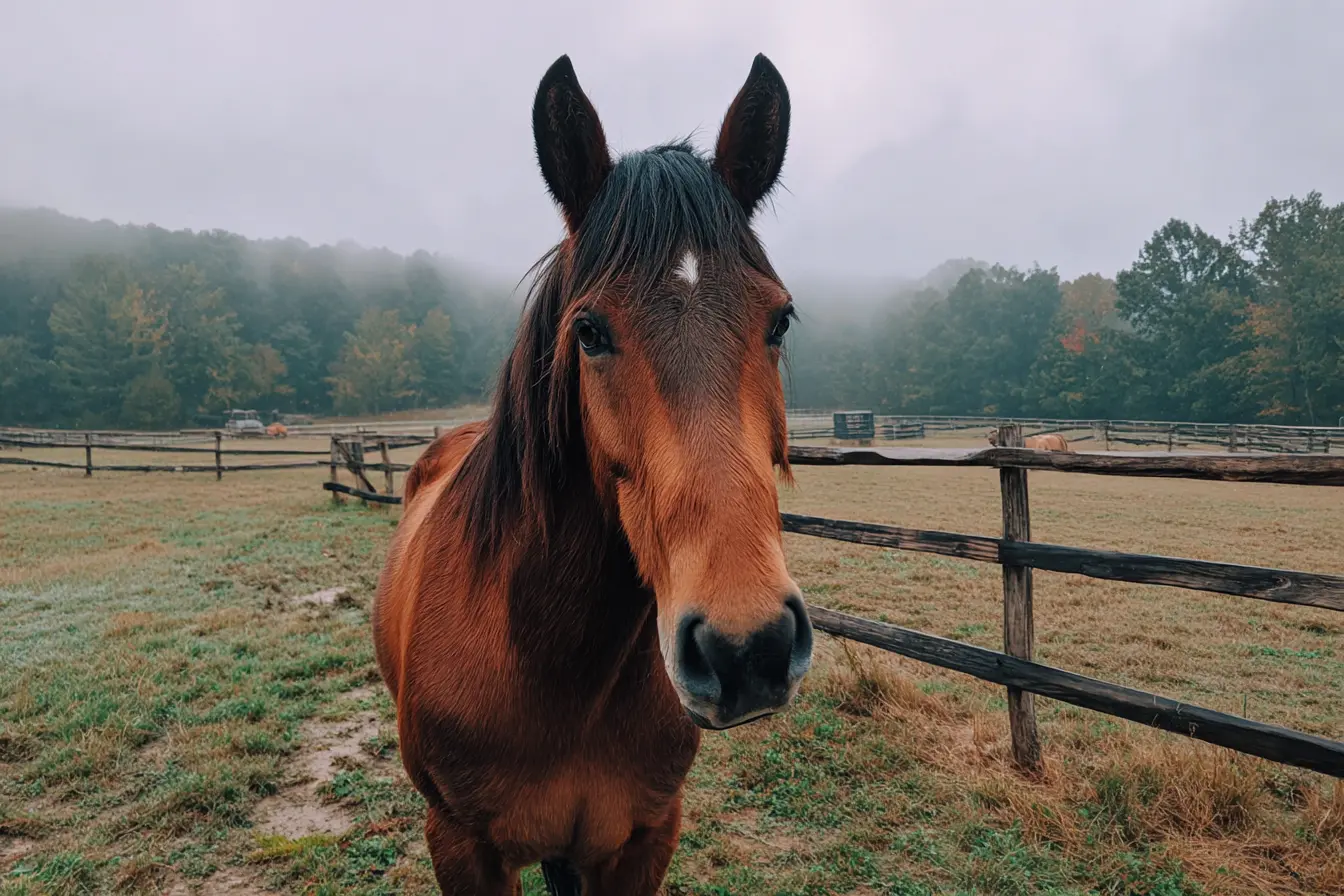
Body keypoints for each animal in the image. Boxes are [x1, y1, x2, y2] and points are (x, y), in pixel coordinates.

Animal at [373, 54, 813, 895]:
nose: (748, 650)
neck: (557, 670)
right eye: (588, 331)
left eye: (779, 320)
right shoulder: (460, 846)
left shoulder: (644, 838)